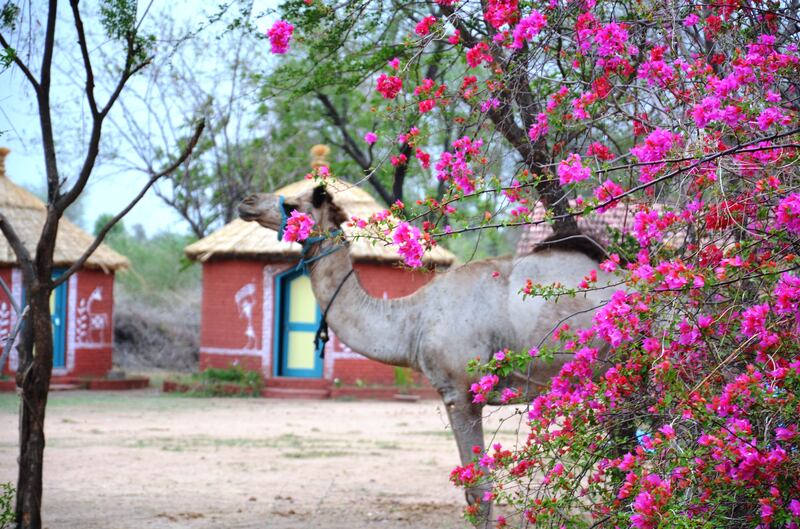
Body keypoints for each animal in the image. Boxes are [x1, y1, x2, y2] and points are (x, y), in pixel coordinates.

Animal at [238, 185, 612, 512]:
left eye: (293, 207)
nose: (247, 201)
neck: (414, 320)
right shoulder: (449, 394)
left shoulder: (463, 392)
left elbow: (480, 491)